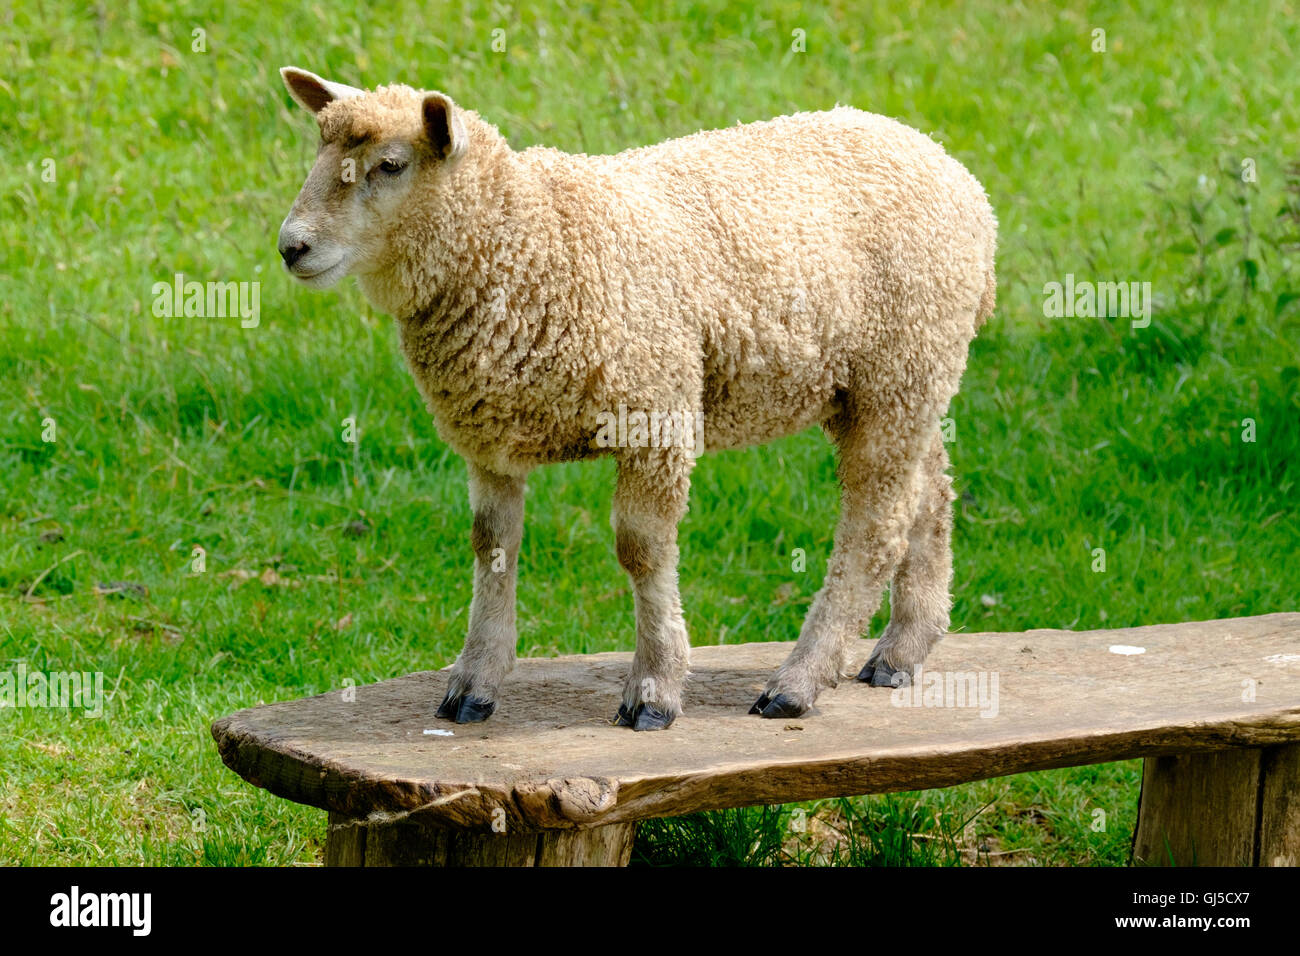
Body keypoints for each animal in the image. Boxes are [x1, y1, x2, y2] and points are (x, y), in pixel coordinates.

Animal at [279, 67, 998, 733]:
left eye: (391, 165)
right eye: (318, 152)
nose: (291, 247)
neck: (533, 236)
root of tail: (961, 178)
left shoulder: (656, 415)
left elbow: (642, 550)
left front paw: (654, 689)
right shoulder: (492, 438)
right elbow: (491, 546)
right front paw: (473, 684)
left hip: (898, 371)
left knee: (876, 524)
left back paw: (798, 681)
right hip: (894, 384)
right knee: (930, 495)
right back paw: (902, 650)